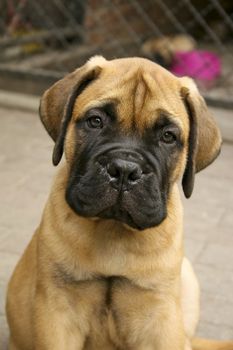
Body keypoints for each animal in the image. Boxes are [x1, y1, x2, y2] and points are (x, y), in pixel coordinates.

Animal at [5, 57, 233, 350]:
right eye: (95, 121)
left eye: (168, 136)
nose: (124, 169)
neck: (113, 230)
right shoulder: (58, 312)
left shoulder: (159, 317)